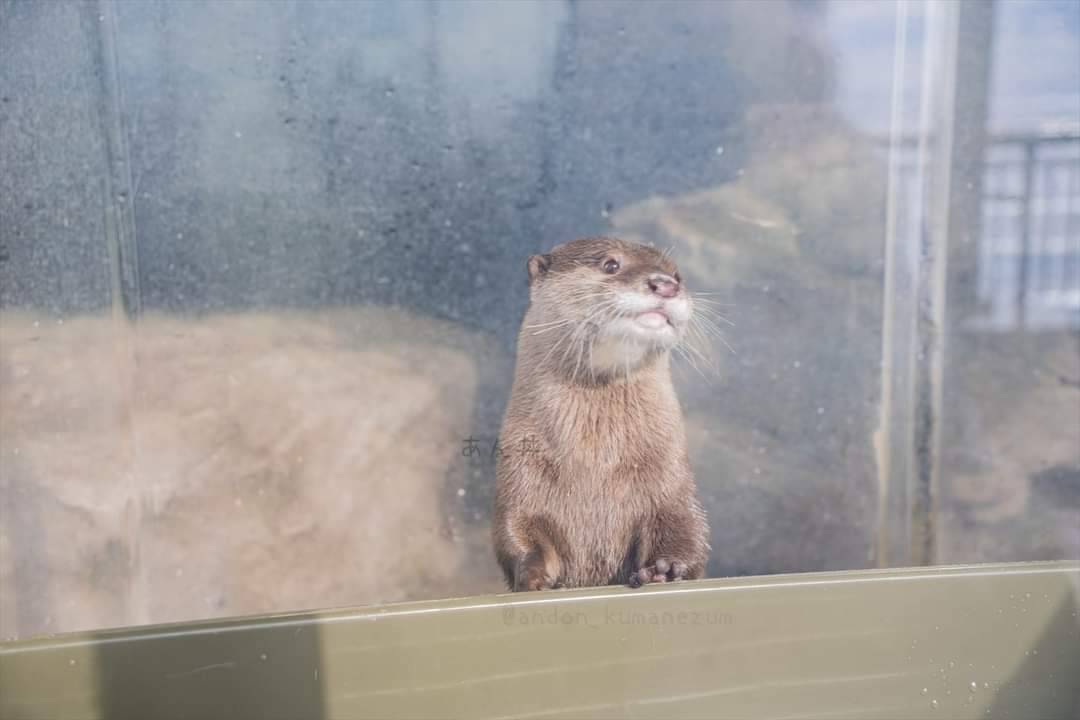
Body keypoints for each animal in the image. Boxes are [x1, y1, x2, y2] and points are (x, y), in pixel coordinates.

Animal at [493, 236, 709, 591]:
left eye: (678, 275)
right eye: (611, 264)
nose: (666, 284)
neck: (597, 463)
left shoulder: (672, 475)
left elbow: (687, 529)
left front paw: (665, 569)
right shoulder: (519, 470)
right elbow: (515, 533)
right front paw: (535, 578)